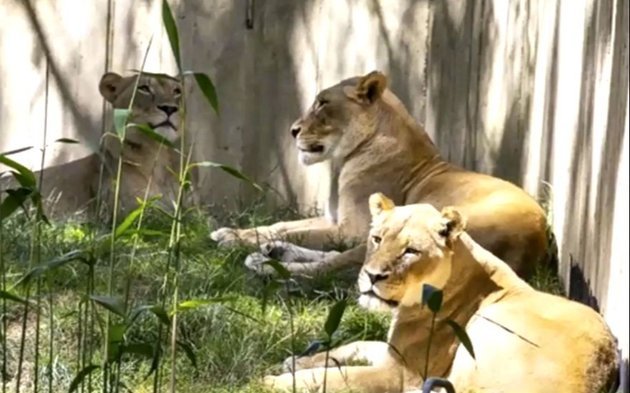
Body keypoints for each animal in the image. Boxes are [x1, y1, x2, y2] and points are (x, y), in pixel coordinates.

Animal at [212, 71, 552, 278]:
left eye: (323, 103)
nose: (293, 130)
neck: (345, 158)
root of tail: (531, 246)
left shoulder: (351, 229)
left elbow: (299, 233)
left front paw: (233, 240)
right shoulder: (336, 221)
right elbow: (282, 226)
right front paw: (232, 232)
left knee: (332, 267)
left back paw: (265, 265)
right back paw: (272, 252)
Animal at [262, 193, 624, 392]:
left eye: (410, 251)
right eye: (377, 239)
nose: (371, 276)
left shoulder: (401, 373)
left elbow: (335, 378)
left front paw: (271, 383)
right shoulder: (394, 354)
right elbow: (354, 346)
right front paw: (295, 361)